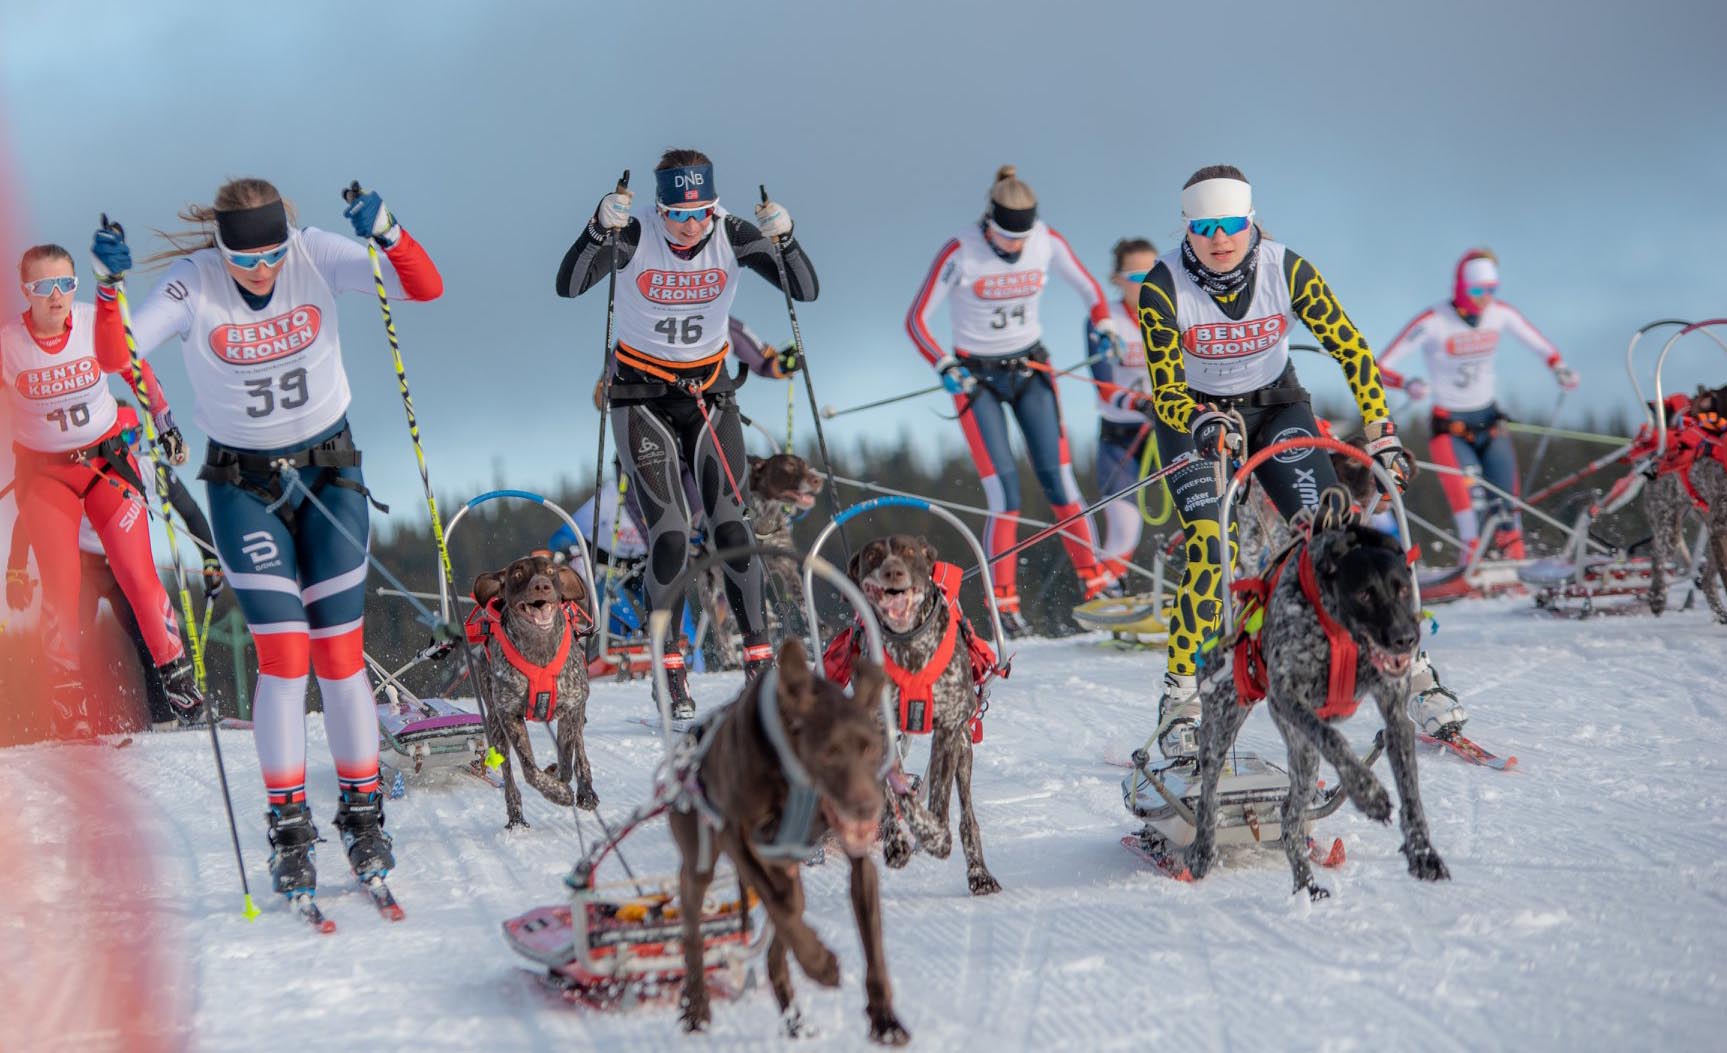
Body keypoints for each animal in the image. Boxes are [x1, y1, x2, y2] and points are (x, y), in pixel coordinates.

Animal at [473, 552, 600, 832]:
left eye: (551, 571)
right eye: (518, 573)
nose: (541, 585)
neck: (539, 651)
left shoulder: (573, 706)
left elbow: (566, 762)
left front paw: (561, 780)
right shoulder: (509, 715)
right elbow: (530, 771)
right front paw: (558, 793)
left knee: (580, 750)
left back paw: (586, 791)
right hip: (495, 727)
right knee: (509, 777)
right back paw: (516, 817)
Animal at [663, 638, 911, 1042]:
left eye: (871, 747)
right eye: (829, 751)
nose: (867, 808)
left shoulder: (856, 860)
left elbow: (872, 943)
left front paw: (885, 1021)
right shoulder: (739, 839)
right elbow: (782, 906)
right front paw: (820, 964)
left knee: (782, 931)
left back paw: (794, 1018)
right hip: (701, 859)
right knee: (697, 922)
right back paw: (696, 1006)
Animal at [1188, 497, 1443, 897]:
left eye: (1403, 588)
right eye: (1364, 593)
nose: (1405, 638)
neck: (1339, 631)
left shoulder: (1395, 713)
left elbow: (1410, 790)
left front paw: (1422, 852)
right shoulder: (1288, 696)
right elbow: (1334, 739)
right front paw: (1367, 791)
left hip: (1303, 762)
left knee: (1290, 817)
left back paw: (1306, 885)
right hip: (1224, 726)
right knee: (1209, 793)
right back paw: (1202, 849)